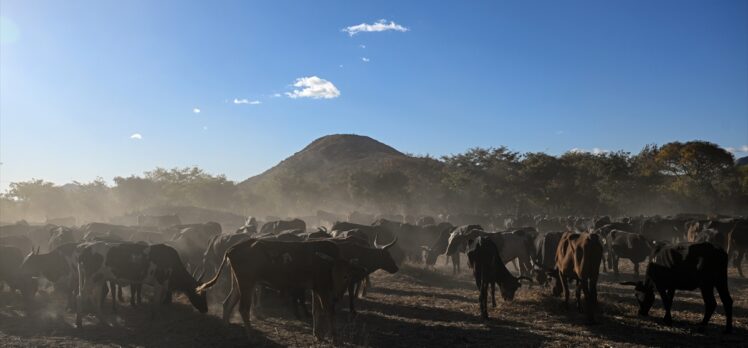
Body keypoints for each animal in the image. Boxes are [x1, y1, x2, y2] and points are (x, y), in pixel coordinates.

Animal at [74, 242, 206, 326]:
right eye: (200, 294)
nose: (206, 310)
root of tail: (85, 249)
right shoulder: (159, 284)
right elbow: (156, 303)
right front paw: (156, 317)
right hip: (91, 278)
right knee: (81, 297)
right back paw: (79, 322)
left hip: (99, 280)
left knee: (95, 298)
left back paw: (103, 320)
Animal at [196, 239, 360, 340]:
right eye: (338, 275)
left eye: (347, 276)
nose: (337, 297)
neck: (327, 265)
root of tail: (232, 248)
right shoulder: (323, 289)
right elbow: (329, 311)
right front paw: (333, 336)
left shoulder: (316, 289)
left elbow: (316, 311)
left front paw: (318, 334)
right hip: (247, 283)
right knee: (243, 308)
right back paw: (250, 335)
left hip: (238, 283)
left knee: (227, 303)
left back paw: (226, 329)